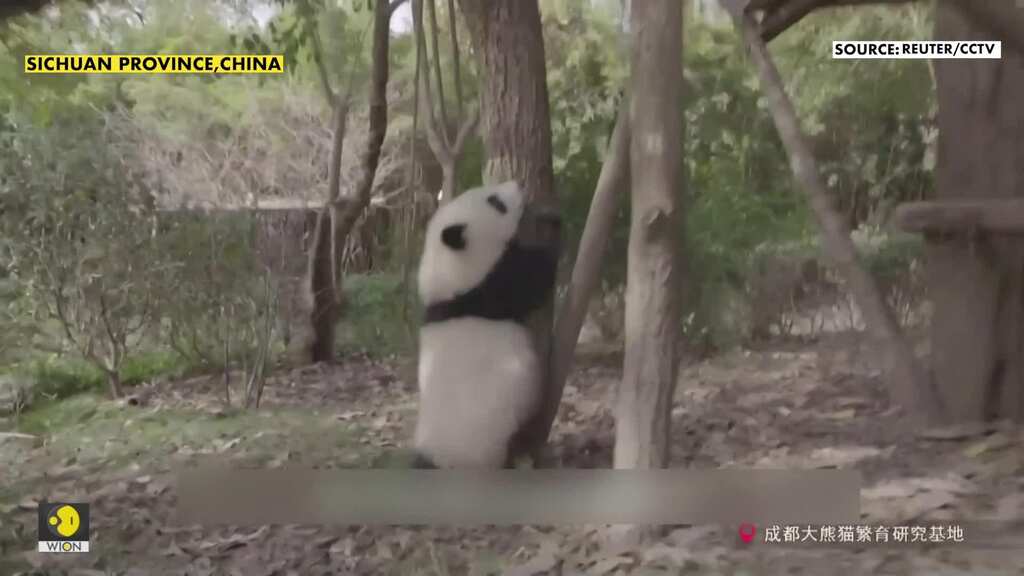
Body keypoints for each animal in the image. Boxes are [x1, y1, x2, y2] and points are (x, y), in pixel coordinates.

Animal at [412, 180, 559, 469]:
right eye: (495, 202)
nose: (518, 184)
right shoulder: (488, 288)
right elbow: (533, 278)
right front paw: (555, 230)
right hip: (494, 435)